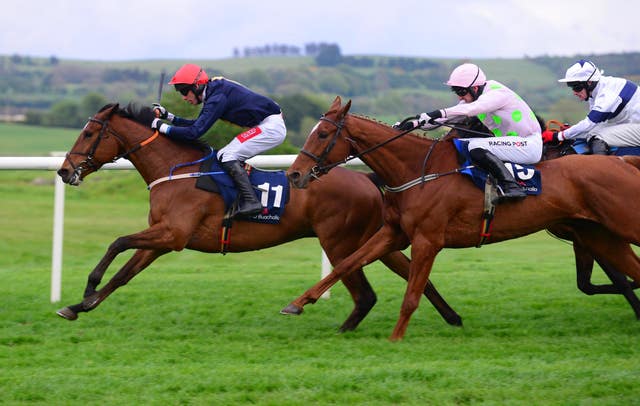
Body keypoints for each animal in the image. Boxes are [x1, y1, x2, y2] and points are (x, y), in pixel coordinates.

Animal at [56, 103, 464, 332]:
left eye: (89, 132)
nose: (64, 171)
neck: (176, 170)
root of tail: (366, 178)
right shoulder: (161, 238)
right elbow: (124, 274)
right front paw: (78, 306)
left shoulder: (172, 235)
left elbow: (117, 242)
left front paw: (88, 289)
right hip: (373, 238)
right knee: (411, 274)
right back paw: (452, 317)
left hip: (340, 242)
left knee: (365, 294)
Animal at [284, 96, 640, 340]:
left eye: (323, 133)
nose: (294, 174)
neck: (417, 170)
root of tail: (622, 162)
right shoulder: (393, 232)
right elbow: (347, 263)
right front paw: (298, 303)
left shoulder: (428, 240)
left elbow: (412, 295)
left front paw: (395, 339)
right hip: (598, 234)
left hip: (621, 225)